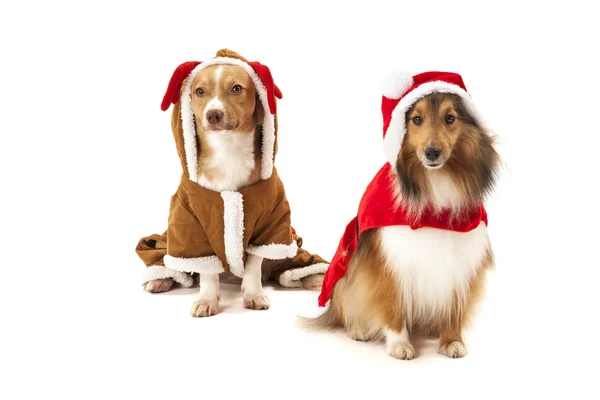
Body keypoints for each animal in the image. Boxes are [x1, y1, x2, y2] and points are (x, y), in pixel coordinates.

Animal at [308, 71, 500, 360]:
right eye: (416, 119)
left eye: (450, 118)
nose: (432, 153)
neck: (436, 184)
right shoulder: (390, 259)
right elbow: (392, 302)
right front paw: (399, 344)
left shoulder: (461, 258)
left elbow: (455, 303)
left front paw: (452, 341)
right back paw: (359, 329)